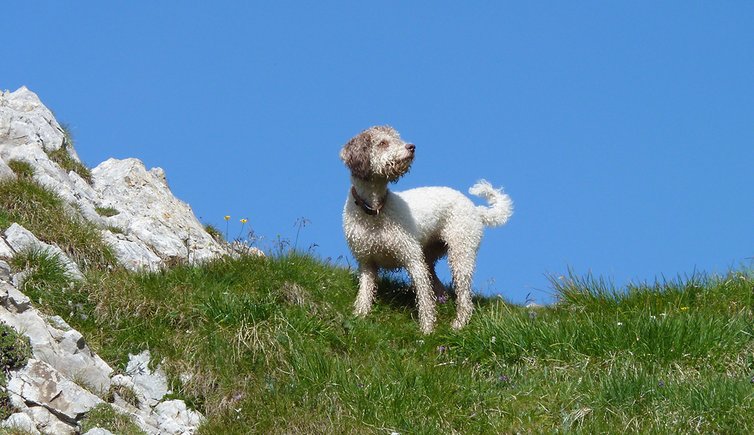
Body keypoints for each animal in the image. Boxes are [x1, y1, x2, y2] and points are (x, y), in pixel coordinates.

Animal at [340, 126, 512, 334]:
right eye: (382, 143)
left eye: (397, 138)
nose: (411, 147)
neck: (375, 211)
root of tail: (476, 209)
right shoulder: (366, 262)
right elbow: (365, 292)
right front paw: (359, 316)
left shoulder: (413, 260)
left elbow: (424, 299)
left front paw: (427, 329)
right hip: (430, 254)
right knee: (439, 285)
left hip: (461, 253)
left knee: (464, 297)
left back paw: (459, 323)